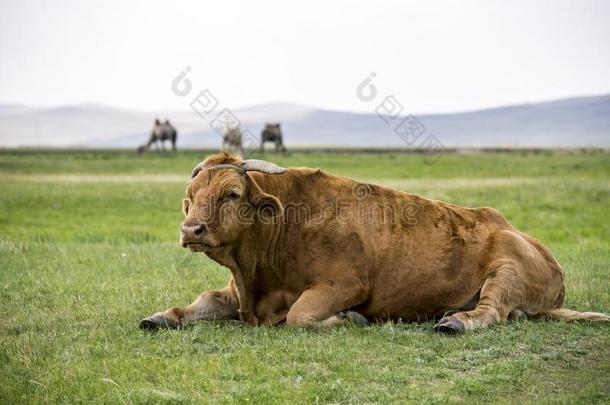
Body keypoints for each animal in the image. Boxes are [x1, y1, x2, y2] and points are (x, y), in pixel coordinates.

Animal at [139, 152, 608, 332]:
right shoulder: (237, 291)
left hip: (506, 270)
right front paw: (161, 316)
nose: (191, 230)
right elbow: (201, 302)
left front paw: (349, 319)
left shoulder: (344, 285)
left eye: (233, 194)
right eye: (192, 195)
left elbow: (299, 316)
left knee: (491, 310)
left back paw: (455, 321)